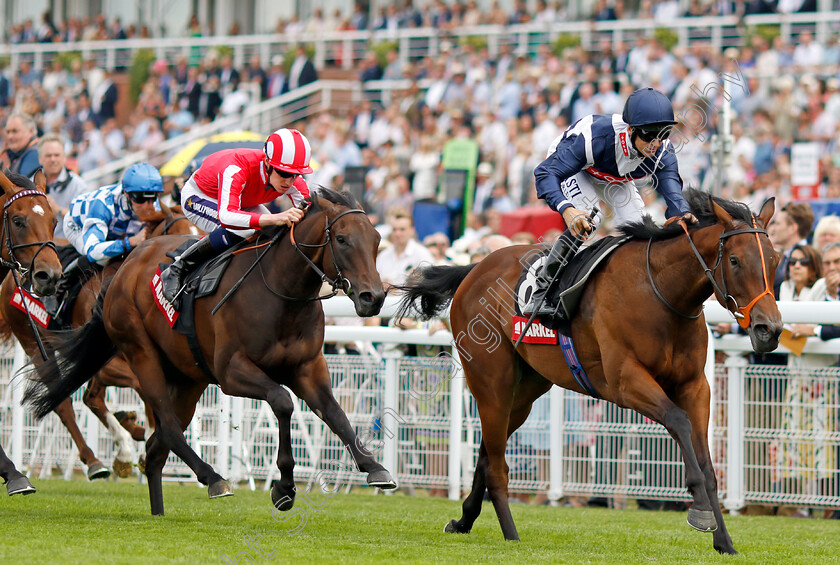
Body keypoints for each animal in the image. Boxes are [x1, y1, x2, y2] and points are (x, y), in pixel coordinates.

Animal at [0, 202, 202, 476]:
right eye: (181, 233)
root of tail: (9, 279)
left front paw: (141, 435)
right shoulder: (110, 360)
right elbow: (144, 387)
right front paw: (146, 436)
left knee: (91, 397)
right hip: (33, 343)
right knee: (65, 402)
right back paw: (98, 459)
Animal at [22, 187, 398, 512]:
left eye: (377, 240)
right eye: (342, 239)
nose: (373, 297)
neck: (281, 292)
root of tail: (124, 270)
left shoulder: (308, 367)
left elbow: (335, 413)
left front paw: (374, 467)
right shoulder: (232, 371)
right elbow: (283, 402)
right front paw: (283, 487)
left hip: (190, 379)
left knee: (157, 445)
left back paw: (157, 506)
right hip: (141, 353)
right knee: (166, 426)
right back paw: (213, 478)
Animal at [394, 191, 780, 556]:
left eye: (775, 260)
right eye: (734, 260)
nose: (769, 330)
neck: (662, 294)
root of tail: (474, 267)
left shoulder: (695, 386)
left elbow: (707, 463)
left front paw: (724, 541)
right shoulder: (625, 382)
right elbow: (679, 422)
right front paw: (699, 510)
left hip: (525, 393)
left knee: (488, 453)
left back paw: (464, 520)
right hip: (491, 382)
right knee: (497, 464)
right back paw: (511, 534)